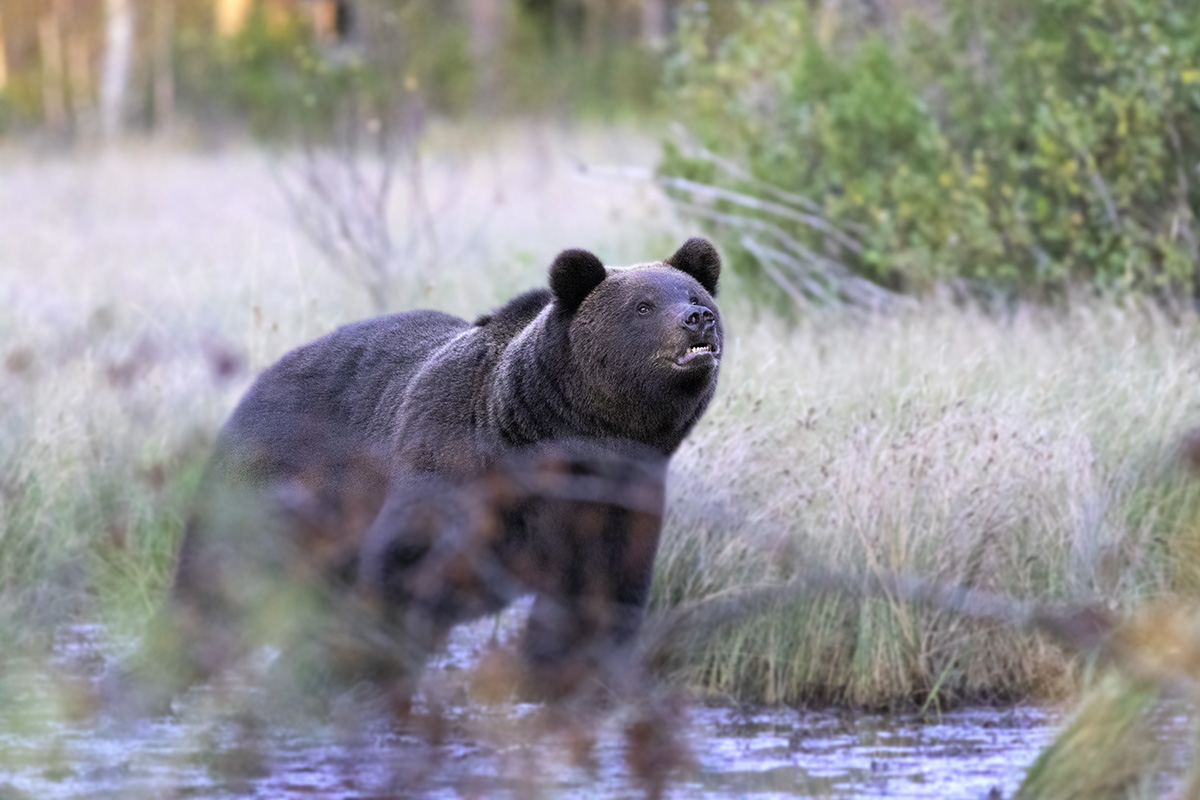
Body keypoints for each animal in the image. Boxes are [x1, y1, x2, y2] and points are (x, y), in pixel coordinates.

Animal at [117, 237, 723, 711]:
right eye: (643, 305)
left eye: (695, 295)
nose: (699, 319)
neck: (562, 440)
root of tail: (260, 378)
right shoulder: (457, 473)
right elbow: (405, 573)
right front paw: (362, 673)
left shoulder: (616, 498)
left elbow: (595, 599)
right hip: (280, 485)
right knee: (217, 585)